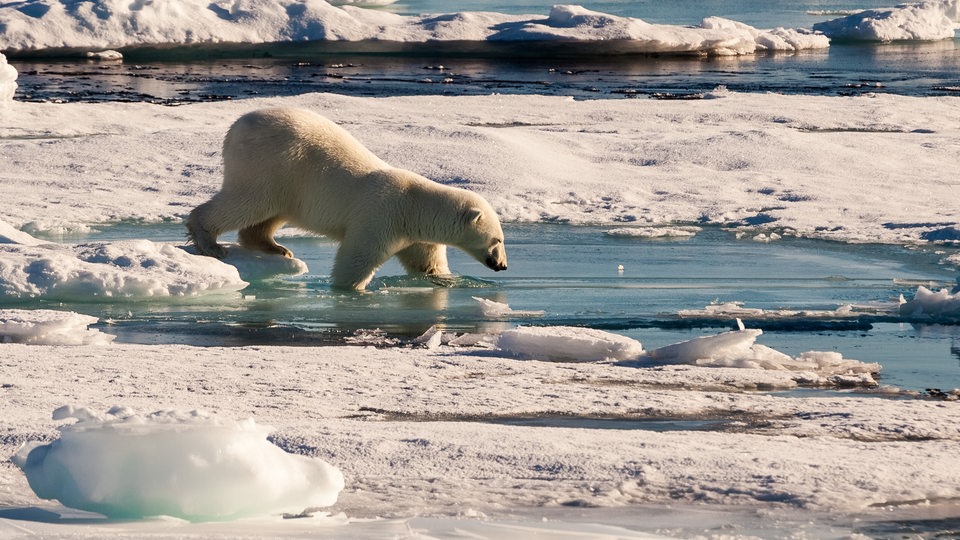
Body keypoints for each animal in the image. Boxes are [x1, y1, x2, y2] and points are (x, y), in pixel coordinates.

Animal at [184, 106, 506, 292]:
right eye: (497, 240)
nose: (502, 265)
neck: (413, 206)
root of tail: (236, 126)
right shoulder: (379, 217)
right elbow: (356, 258)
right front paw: (350, 289)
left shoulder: (413, 235)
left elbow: (426, 263)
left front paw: (443, 279)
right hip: (272, 163)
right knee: (249, 201)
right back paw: (209, 242)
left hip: (285, 179)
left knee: (269, 213)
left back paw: (277, 248)